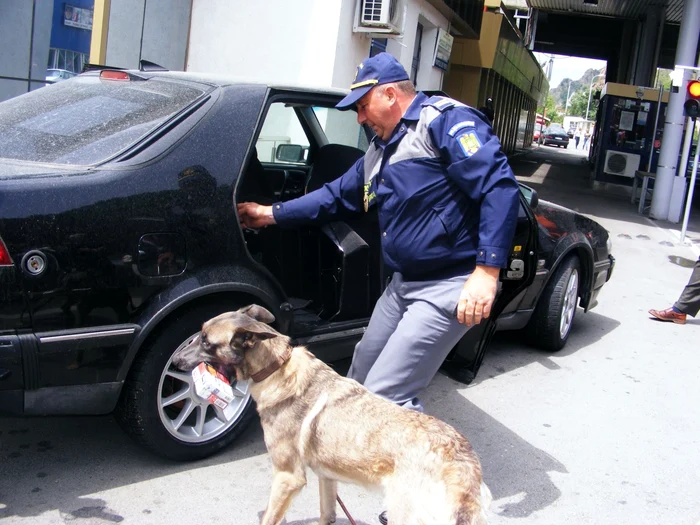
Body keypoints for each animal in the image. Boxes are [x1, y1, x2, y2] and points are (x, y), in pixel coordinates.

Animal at [173, 304, 492, 520]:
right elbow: (327, 514)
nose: (175, 361)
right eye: (199, 333)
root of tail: (463, 459)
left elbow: (270, 518)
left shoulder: (288, 478)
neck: (277, 366)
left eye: (206, 340)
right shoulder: (326, 478)